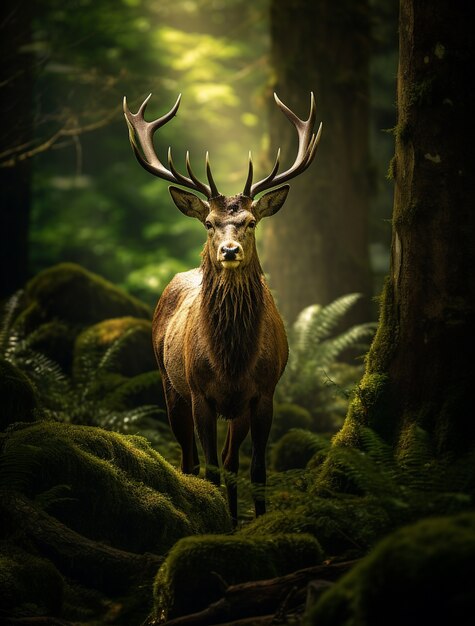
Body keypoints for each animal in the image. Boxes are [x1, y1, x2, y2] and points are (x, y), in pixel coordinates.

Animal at [123, 92, 324, 520]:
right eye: (209, 223)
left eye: (250, 221)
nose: (229, 251)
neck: (230, 360)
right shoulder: (201, 393)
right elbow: (210, 468)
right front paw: (216, 519)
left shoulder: (264, 392)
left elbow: (256, 468)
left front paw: (255, 521)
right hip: (169, 383)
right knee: (189, 460)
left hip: (235, 408)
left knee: (232, 460)